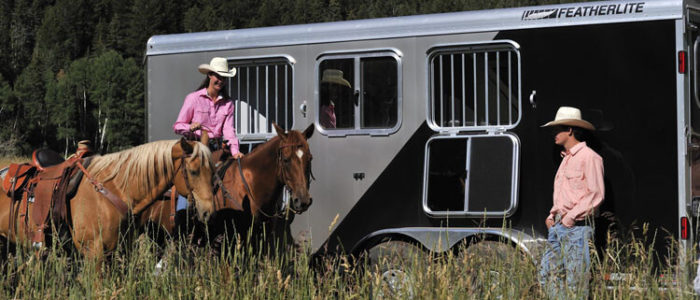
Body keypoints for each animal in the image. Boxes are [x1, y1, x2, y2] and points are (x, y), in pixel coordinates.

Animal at [0, 138, 215, 264]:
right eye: (194, 171)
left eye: (212, 171)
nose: (208, 212)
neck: (115, 190)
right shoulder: (94, 254)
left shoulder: (120, 251)